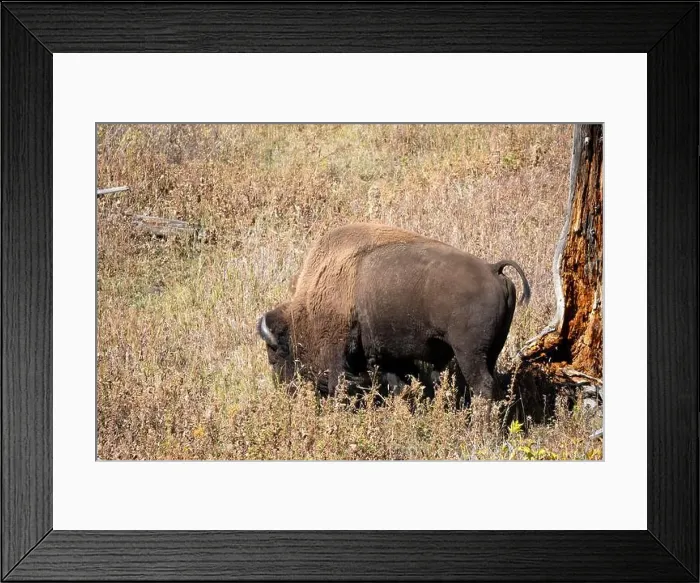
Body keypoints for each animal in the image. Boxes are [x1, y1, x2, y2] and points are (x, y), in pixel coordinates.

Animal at [257, 223, 530, 404]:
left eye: (276, 354)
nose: (285, 391)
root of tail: (493, 269)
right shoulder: (387, 357)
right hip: (492, 350)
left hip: (469, 353)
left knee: (482, 386)